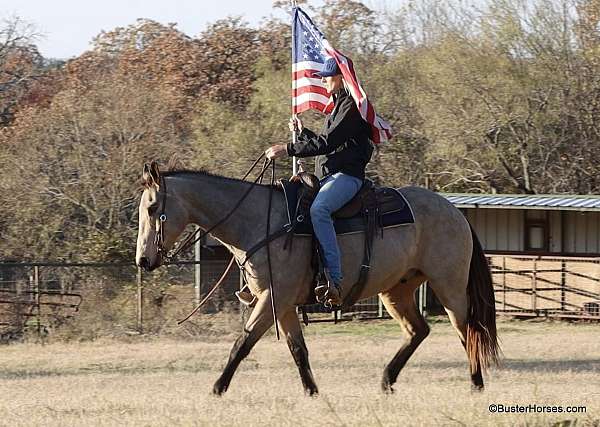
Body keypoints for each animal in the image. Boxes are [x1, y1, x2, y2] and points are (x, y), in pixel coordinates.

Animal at [137, 162, 502, 396]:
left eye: (153, 208)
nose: (143, 260)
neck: (258, 222)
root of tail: (454, 211)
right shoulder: (283, 305)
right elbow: (298, 350)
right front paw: (312, 391)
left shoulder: (273, 298)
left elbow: (243, 343)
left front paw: (217, 388)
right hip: (396, 291)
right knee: (418, 330)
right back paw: (387, 380)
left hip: (450, 287)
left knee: (468, 332)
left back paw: (476, 384)